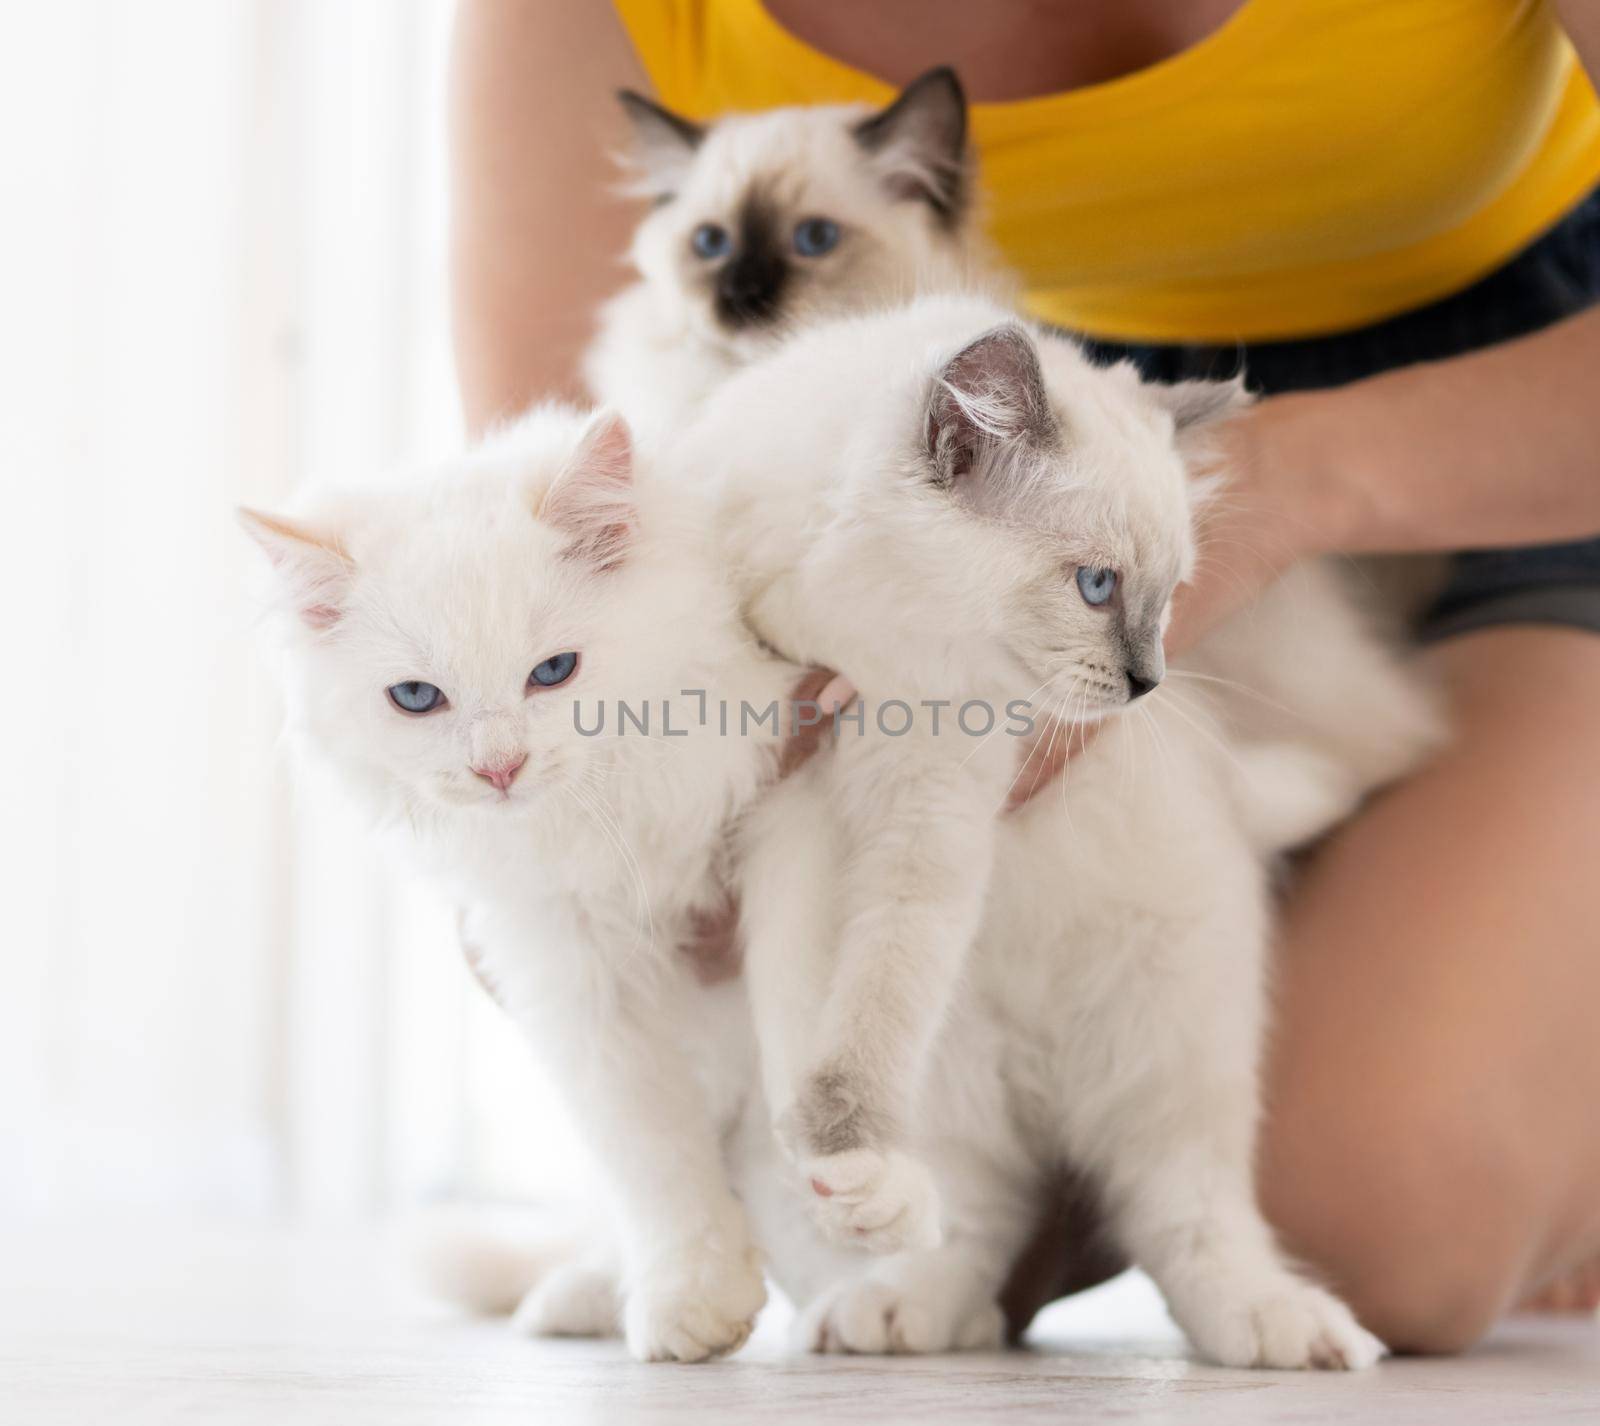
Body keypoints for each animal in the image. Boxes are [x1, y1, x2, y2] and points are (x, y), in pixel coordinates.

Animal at [241, 406, 793, 1363]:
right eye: (417, 697)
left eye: (554, 673)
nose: (499, 767)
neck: (606, 830)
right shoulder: (573, 974)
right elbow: (653, 1153)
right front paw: (691, 1298)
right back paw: (583, 1296)